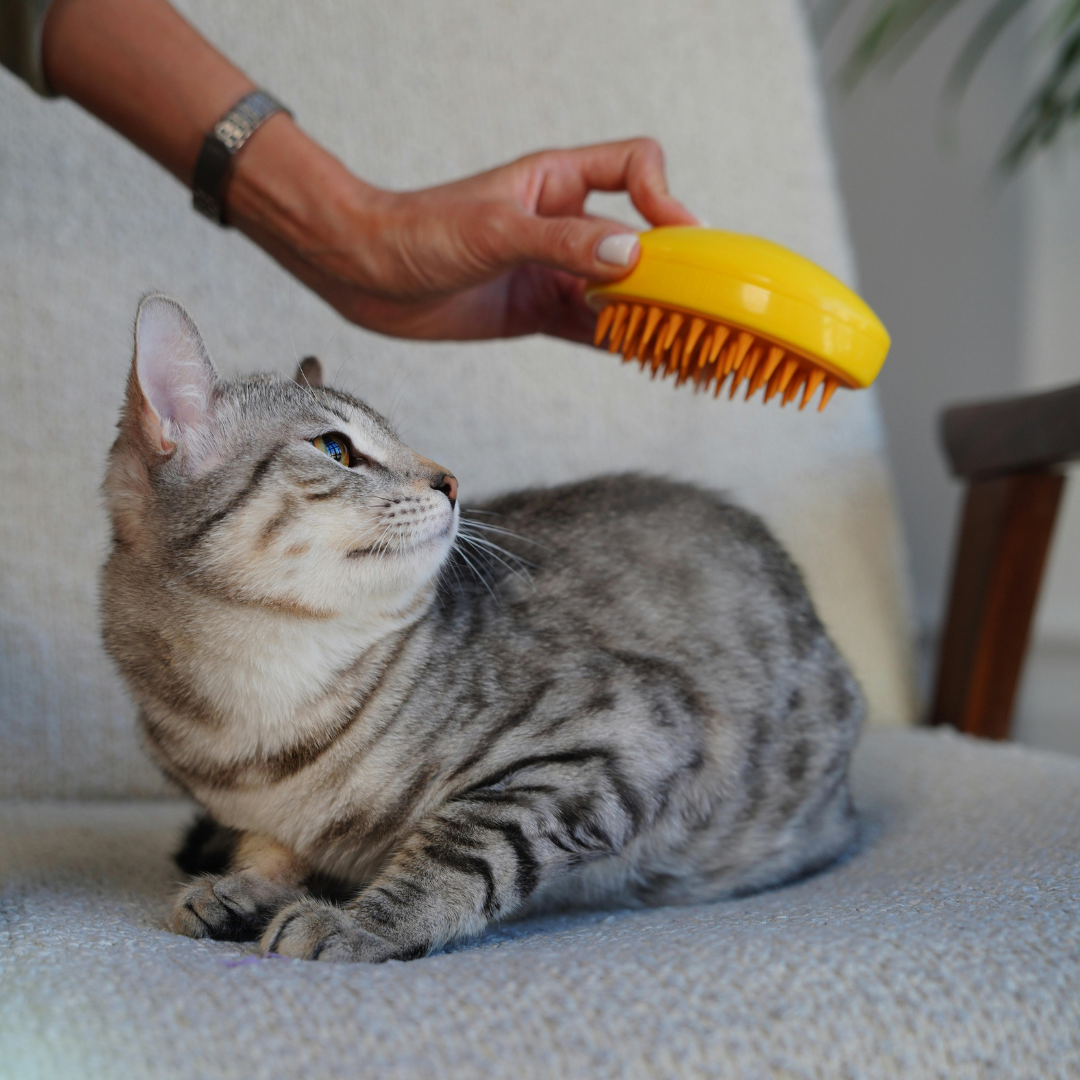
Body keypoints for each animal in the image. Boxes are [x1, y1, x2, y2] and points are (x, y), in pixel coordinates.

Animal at [101, 293, 859, 963]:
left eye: (399, 439)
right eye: (336, 449)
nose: (450, 480)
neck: (257, 727)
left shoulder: (624, 729)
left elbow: (465, 848)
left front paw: (363, 923)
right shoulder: (256, 813)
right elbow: (270, 848)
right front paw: (245, 886)